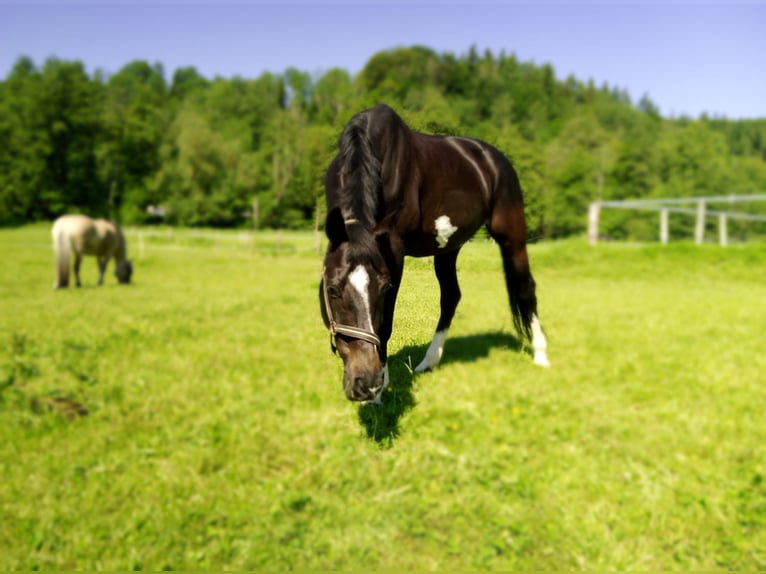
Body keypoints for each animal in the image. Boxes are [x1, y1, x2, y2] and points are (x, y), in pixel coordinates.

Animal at [320, 103, 548, 402]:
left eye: (384, 288)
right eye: (332, 289)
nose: (366, 383)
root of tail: (495, 158)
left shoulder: (394, 248)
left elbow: (386, 321)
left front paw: (381, 391)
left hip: (512, 236)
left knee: (526, 287)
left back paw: (541, 354)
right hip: (449, 248)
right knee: (451, 296)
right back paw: (430, 361)